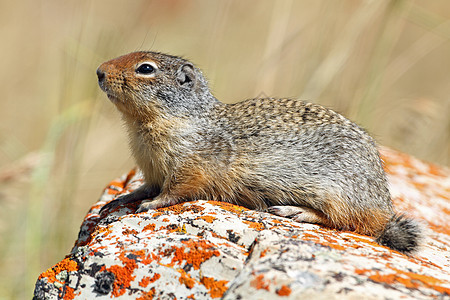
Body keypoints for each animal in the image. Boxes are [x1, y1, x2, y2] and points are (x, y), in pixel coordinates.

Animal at [96, 51, 422, 253]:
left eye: (145, 68)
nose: (99, 71)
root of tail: (384, 206)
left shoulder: (190, 165)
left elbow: (176, 190)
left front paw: (150, 204)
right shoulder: (151, 168)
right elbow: (147, 186)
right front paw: (122, 198)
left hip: (337, 192)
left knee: (347, 221)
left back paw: (294, 211)